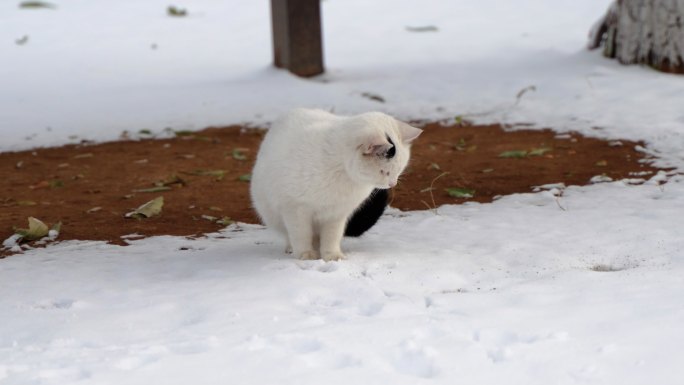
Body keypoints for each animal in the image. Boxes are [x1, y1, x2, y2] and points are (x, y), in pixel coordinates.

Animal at [251, 108, 422, 260]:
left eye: (398, 170)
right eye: (383, 172)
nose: (392, 183)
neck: (341, 171)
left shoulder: (336, 214)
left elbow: (331, 237)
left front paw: (332, 255)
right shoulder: (295, 208)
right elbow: (301, 234)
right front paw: (306, 254)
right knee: (291, 234)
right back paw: (294, 248)